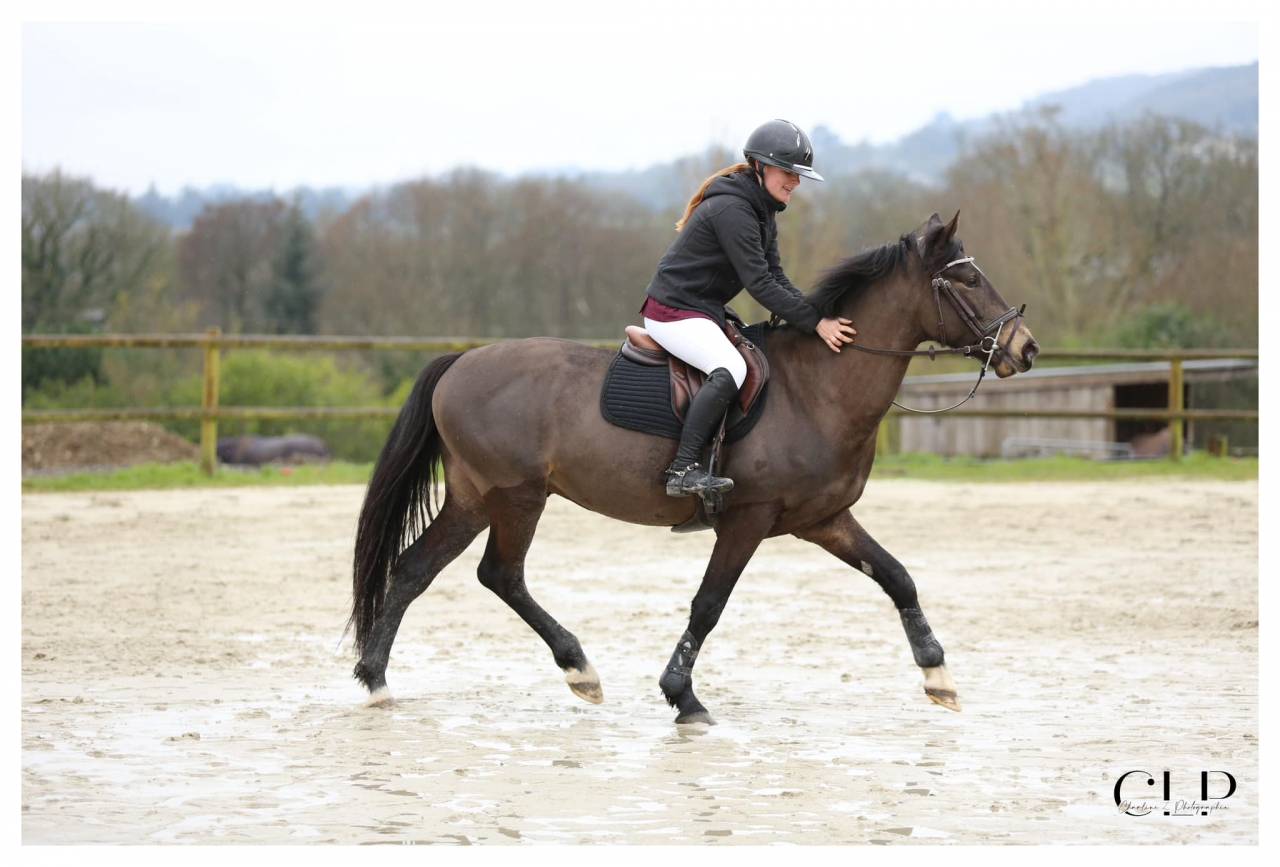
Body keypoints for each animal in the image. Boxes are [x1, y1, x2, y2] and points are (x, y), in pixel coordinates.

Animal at [348, 211, 1039, 724]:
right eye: (968, 281)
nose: (1025, 349)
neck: (818, 386)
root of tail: (460, 361)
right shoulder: (748, 518)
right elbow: (708, 605)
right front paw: (683, 697)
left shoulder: (824, 519)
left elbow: (897, 577)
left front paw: (938, 675)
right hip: (517, 496)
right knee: (498, 574)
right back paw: (573, 670)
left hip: (474, 497)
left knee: (418, 571)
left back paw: (382, 682)